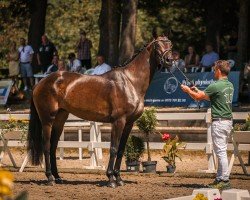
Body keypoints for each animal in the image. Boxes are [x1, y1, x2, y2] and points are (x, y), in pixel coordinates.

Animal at [26, 35, 172, 188]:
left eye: (171, 45)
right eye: (158, 46)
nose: (169, 60)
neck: (130, 81)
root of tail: (40, 83)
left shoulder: (129, 123)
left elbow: (121, 149)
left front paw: (119, 178)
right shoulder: (118, 121)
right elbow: (113, 148)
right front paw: (111, 179)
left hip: (60, 120)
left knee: (53, 147)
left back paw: (57, 177)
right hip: (47, 120)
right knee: (46, 146)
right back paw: (49, 178)